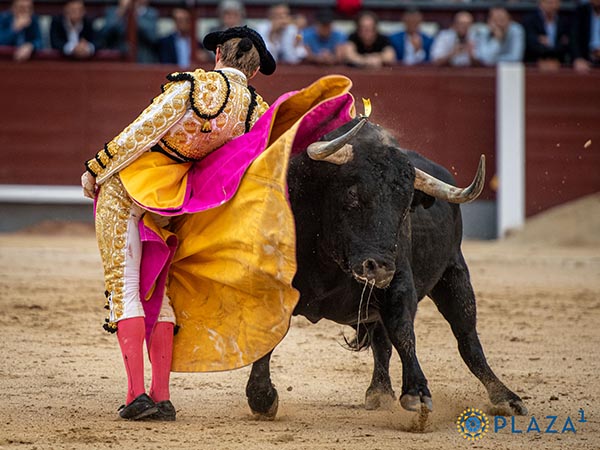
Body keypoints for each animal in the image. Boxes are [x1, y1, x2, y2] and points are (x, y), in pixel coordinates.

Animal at [244, 115, 524, 418]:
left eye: (406, 205)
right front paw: (262, 397)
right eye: (352, 194)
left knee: (467, 339)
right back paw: (379, 391)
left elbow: (403, 332)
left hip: (454, 275)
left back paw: (505, 396)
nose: (378, 268)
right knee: (382, 340)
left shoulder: (398, 282)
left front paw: (416, 392)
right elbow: (268, 331)